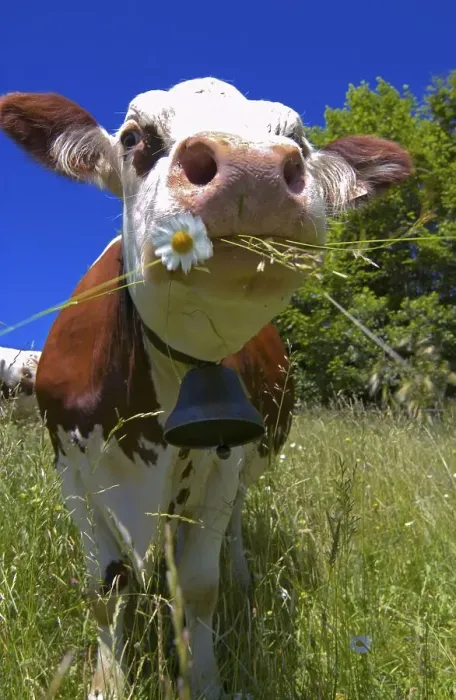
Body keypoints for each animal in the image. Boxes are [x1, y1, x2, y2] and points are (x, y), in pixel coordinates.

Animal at [0, 77, 411, 699]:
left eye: (297, 140)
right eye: (134, 136)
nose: (252, 170)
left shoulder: (223, 461)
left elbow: (198, 585)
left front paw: (203, 678)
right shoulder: (72, 469)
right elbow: (106, 588)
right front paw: (108, 681)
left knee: (234, 526)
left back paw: (242, 575)